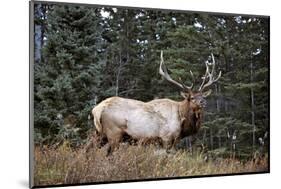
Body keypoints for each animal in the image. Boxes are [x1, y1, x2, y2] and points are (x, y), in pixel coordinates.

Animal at [91, 51, 220, 154]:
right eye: (192, 97)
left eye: (202, 95)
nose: (203, 102)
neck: (182, 121)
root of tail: (97, 109)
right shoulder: (166, 138)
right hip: (114, 133)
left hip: (100, 134)